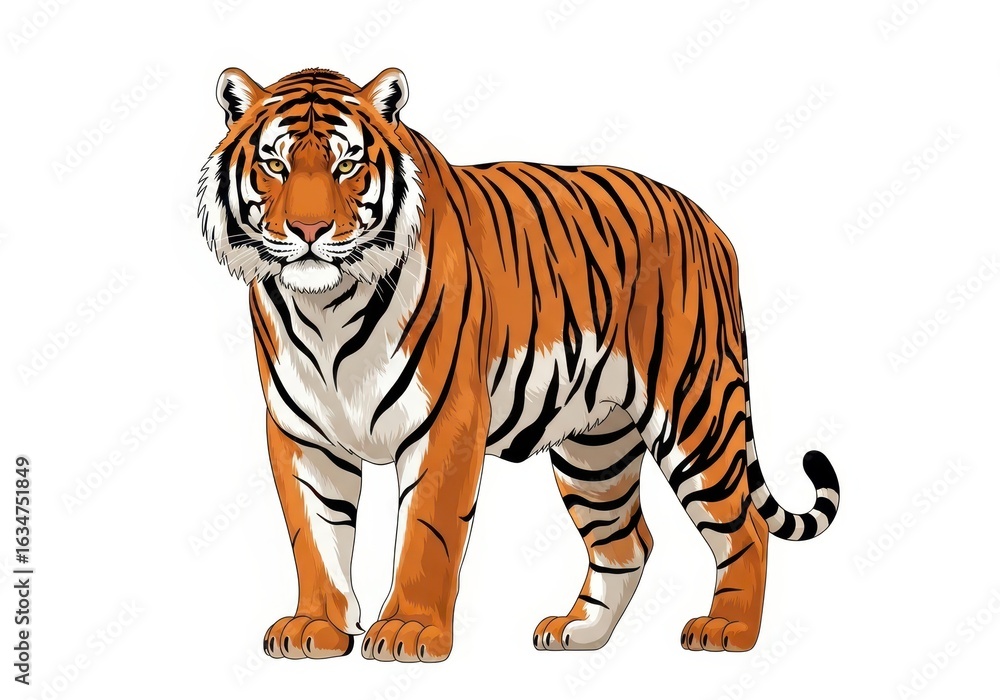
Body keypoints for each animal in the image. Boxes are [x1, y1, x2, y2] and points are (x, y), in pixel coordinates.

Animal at [197, 65, 841, 663]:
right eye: (275, 165)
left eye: (347, 165)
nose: (309, 230)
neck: (325, 306)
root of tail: (711, 226)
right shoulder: (300, 431)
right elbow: (315, 535)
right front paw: (317, 628)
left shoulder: (446, 421)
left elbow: (426, 531)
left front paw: (408, 631)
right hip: (595, 445)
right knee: (627, 541)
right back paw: (577, 632)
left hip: (696, 410)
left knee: (744, 527)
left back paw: (728, 630)